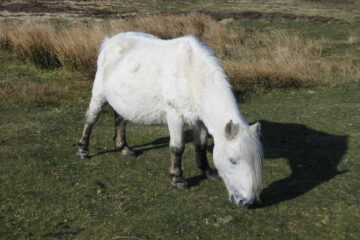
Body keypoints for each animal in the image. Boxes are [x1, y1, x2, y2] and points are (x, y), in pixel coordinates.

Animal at [77, 31, 262, 205]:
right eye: (233, 161)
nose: (245, 201)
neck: (192, 74)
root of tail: (109, 41)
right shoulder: (175, 117)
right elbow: (177, 147)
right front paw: (177, 179)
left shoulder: (200, 120)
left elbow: (200, 145)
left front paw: (207, 171)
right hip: (99, 94)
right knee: (91, 119)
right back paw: (83, 150)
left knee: (120, 120)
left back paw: (124, 148)